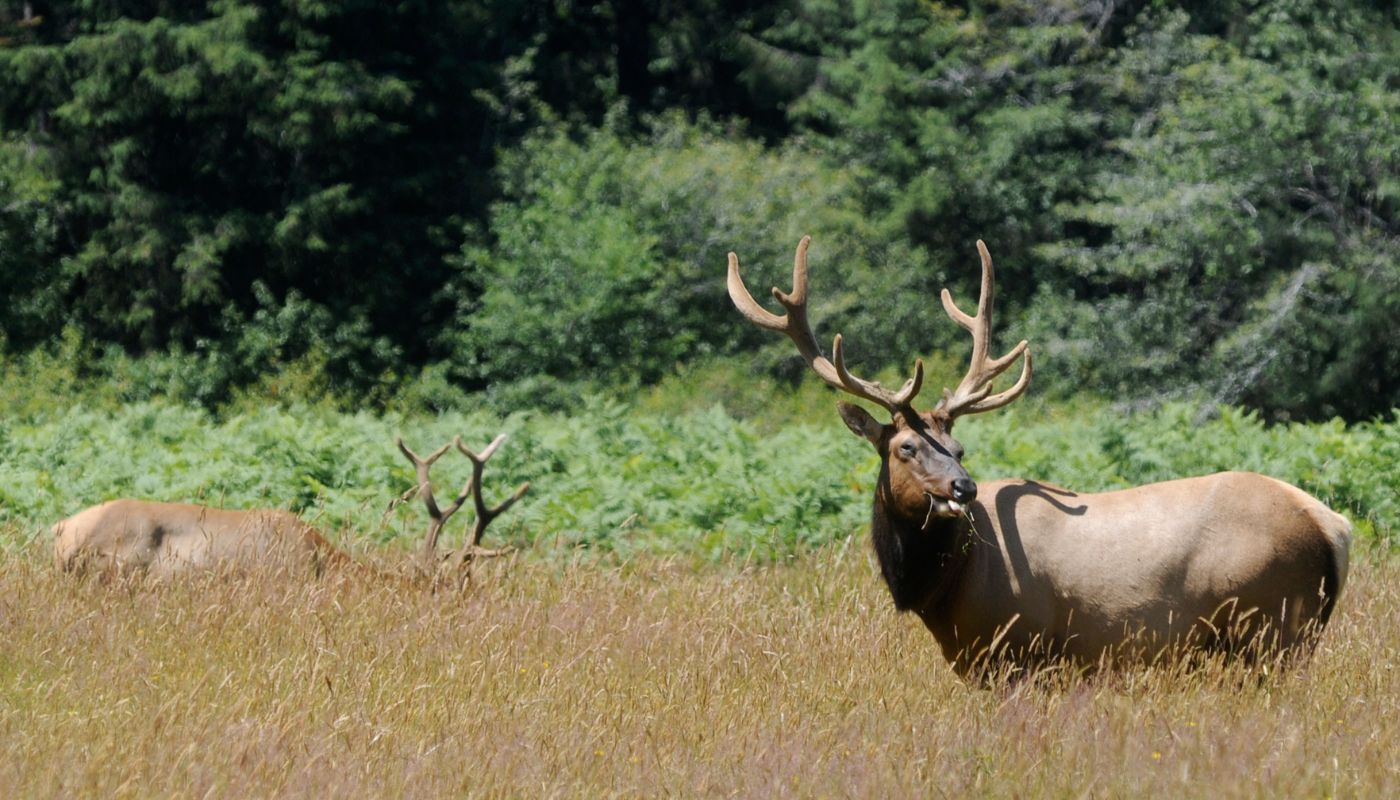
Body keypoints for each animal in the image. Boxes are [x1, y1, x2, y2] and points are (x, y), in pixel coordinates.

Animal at [728, 236, 1349, 675]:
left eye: (958, 447)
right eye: (907, 447)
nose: (964, 487)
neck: (944, 583)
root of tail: (1332, 526)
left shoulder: (1018, 650)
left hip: (1269, 626)